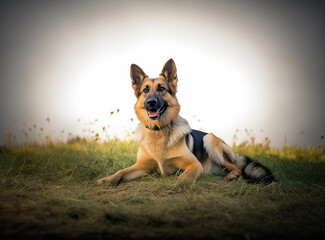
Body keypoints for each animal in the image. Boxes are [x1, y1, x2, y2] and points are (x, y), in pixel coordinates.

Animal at [97, 58, 274, 186]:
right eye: (145, 90)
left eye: (161, 88)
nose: (151, 103)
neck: (159, 131)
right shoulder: (141, 167)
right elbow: (121, 172)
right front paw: (107, 179)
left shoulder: (194, 166)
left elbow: (181, 178)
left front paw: (175, 185)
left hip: (209, 139)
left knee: (237, 168)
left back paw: (232, 175)